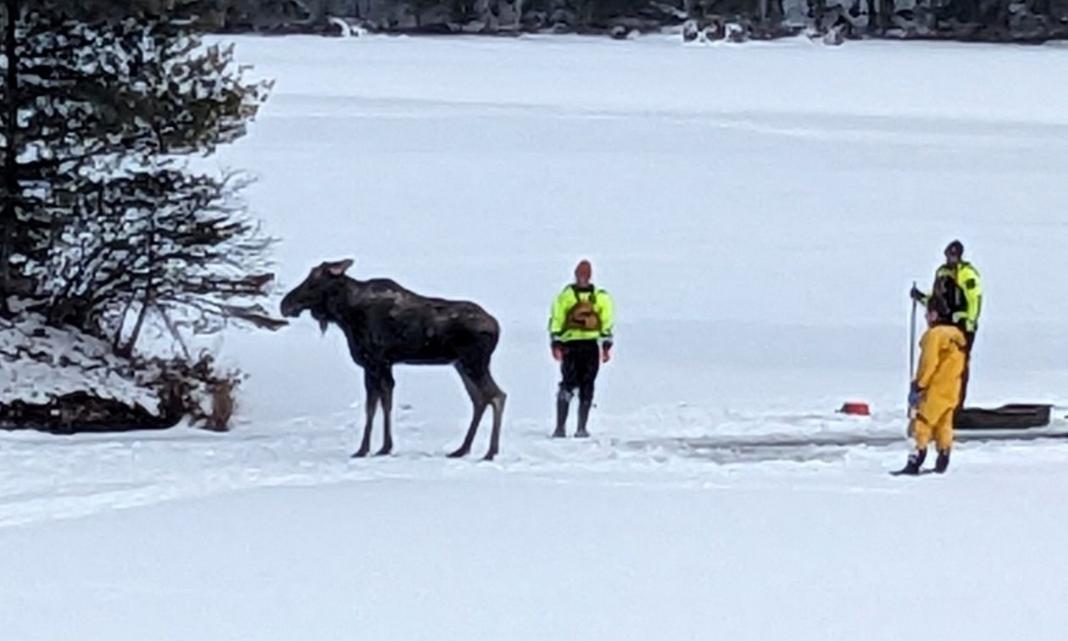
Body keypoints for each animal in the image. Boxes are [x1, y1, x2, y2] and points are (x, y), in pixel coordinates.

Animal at [279, 260, 504, 461]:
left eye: (313, 282)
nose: (285, 305)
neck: (346, 314)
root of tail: (497, 328)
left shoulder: (374, 362)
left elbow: (372, 406)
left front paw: (365, 449)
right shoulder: (382, 365)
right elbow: (384, 402)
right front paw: (383, 447)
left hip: (473, 363)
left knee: (497, 396)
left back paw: (490, 452)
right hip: (461, 364)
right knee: (480, 399)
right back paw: (462, 449)